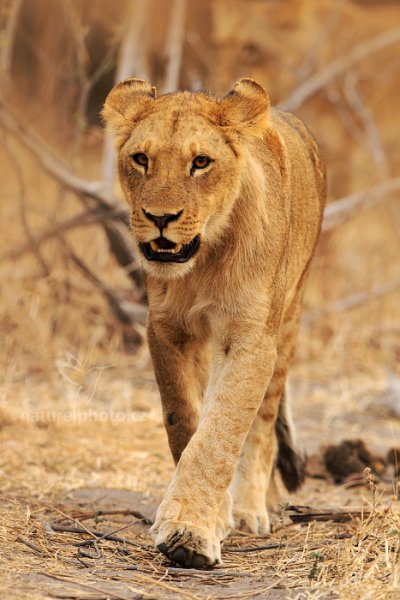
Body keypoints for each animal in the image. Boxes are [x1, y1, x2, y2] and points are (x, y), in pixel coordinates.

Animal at [101, 76, 326, 568]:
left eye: (200, 162)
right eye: (141, 159)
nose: (160, 219)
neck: (202, 262)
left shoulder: (249, 340)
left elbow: (221, 433)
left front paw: (189, 534)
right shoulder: (168, 330)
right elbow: (185, 422)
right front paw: (206, 519)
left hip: (288, 318)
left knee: (263, 426)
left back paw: (252, 509)